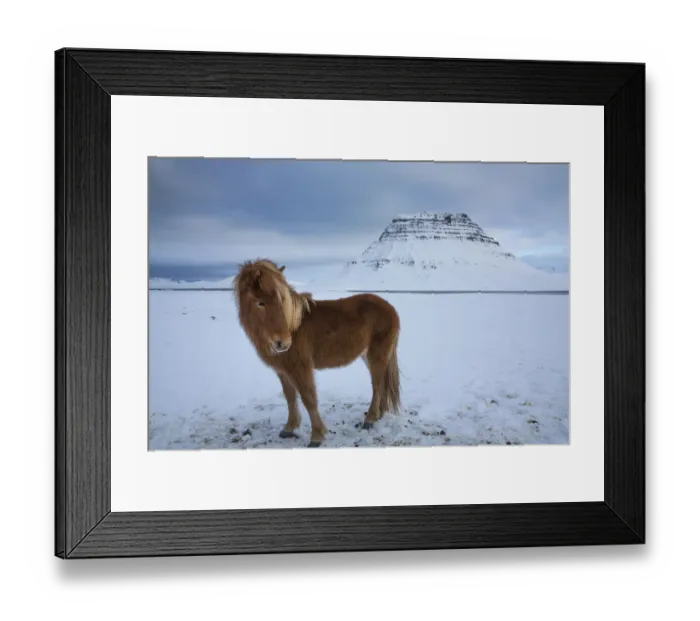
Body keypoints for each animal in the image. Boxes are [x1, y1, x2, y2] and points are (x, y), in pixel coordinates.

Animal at [233, 259, 401, 447]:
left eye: (282, 300)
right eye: (260, 302)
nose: (283, 343)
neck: (294, 326)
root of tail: (390, 307)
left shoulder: (301, 368)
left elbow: (308, 399)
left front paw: (316, 436)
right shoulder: (283, 371)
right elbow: (290, 397)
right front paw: (289, 428)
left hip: (377, 355)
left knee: (377, 385)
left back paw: (370, 419)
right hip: (369, 356)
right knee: (382, 383)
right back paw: (380, 414)